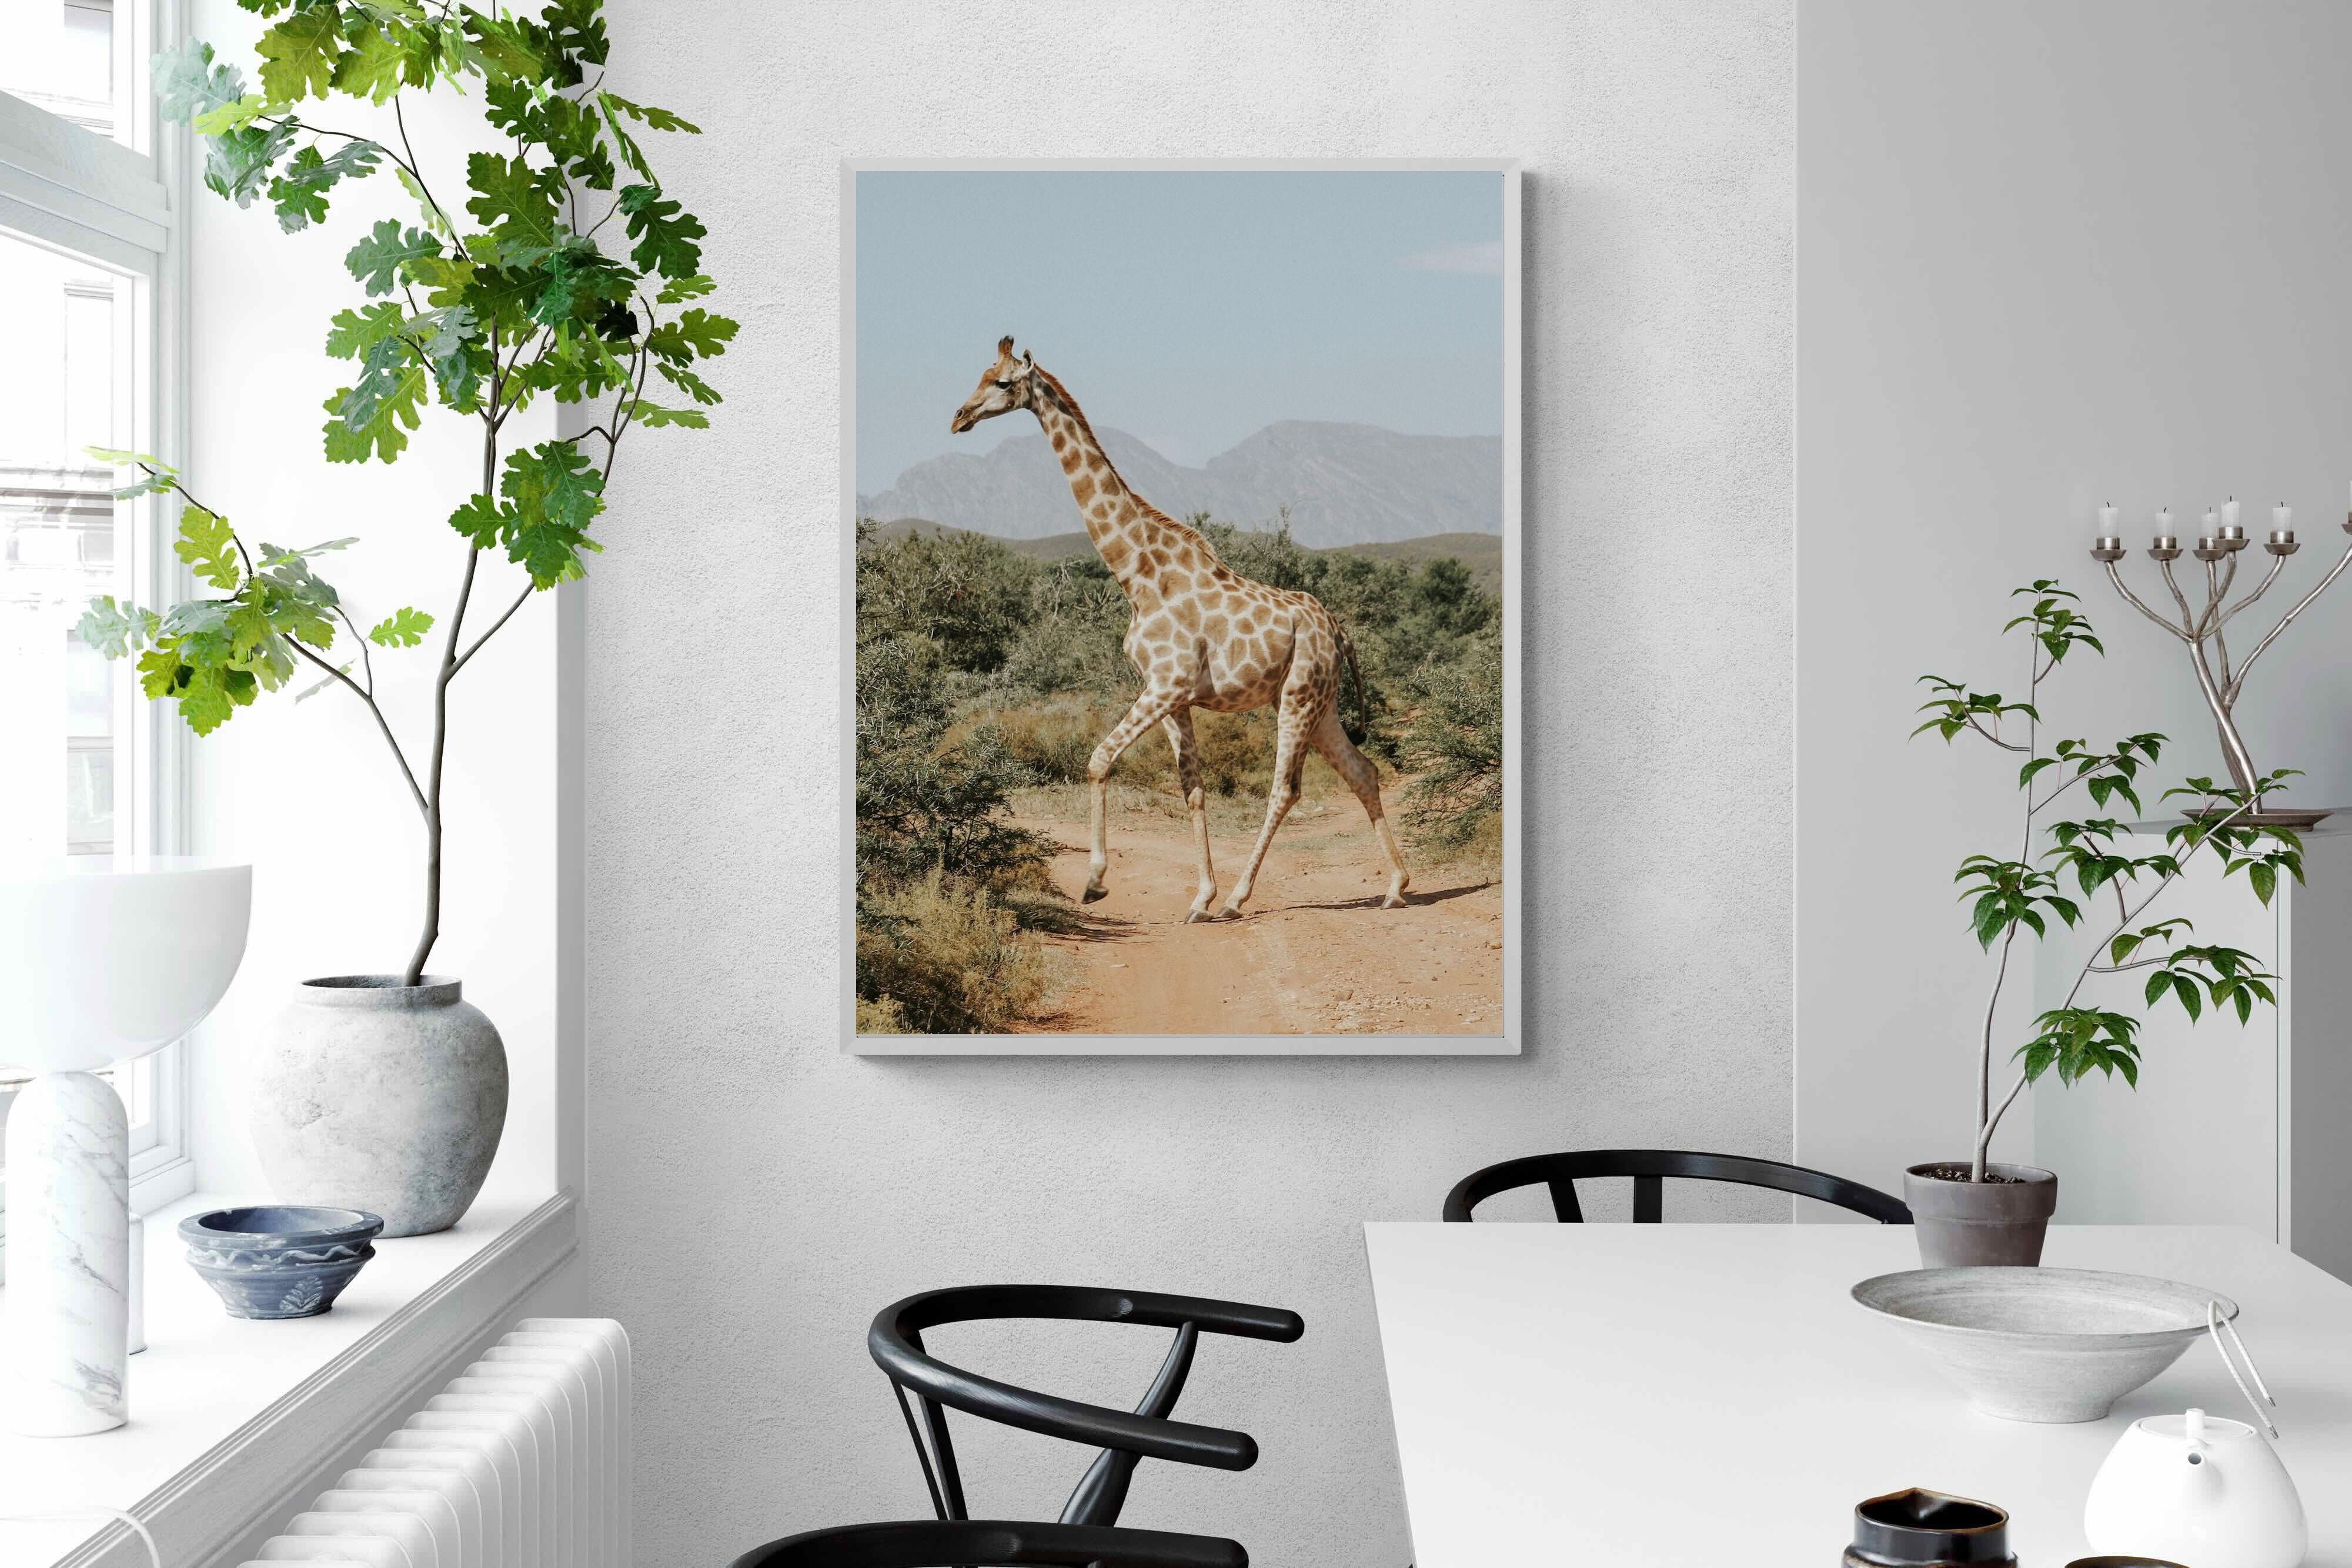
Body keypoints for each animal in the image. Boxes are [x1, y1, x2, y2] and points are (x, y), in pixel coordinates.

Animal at [950, 336, 1411, 923]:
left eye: (1004, 382)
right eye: (980, 374)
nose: (959, 418)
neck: (1137, 574)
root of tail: (1338, 631)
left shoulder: (1166, 684)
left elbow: (1099, 759)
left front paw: (1096, 881)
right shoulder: (1172, 696)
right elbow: (1192, 788)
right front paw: (1199, 897)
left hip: (1299, 696)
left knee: (1286, 789)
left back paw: (1240, 899)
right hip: (1321, 702)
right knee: (1363, 771)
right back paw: (1396, 885)